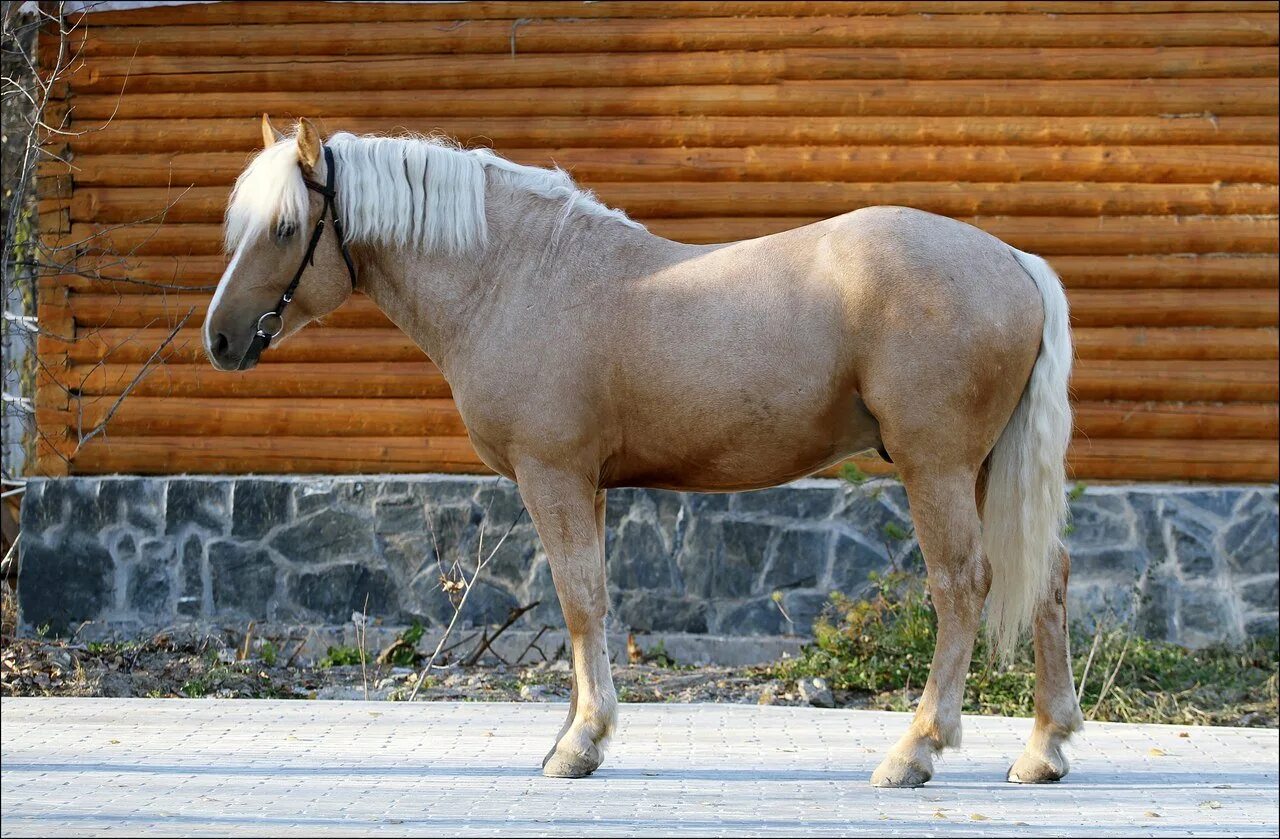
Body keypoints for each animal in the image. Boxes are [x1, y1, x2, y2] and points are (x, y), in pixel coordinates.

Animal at [204, 117, 1085, 789]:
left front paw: (578, 743)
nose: (219, 338)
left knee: (962, 586)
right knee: (1048, 578)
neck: (517, 276)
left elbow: (580, 600)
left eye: (286, 227)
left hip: (936, 466)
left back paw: (915, 750)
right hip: (982, 469)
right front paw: (573, 732)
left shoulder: (553, 475)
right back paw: (1043, 748)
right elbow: (585, 602)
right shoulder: (586, 484)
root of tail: (1015, 262)